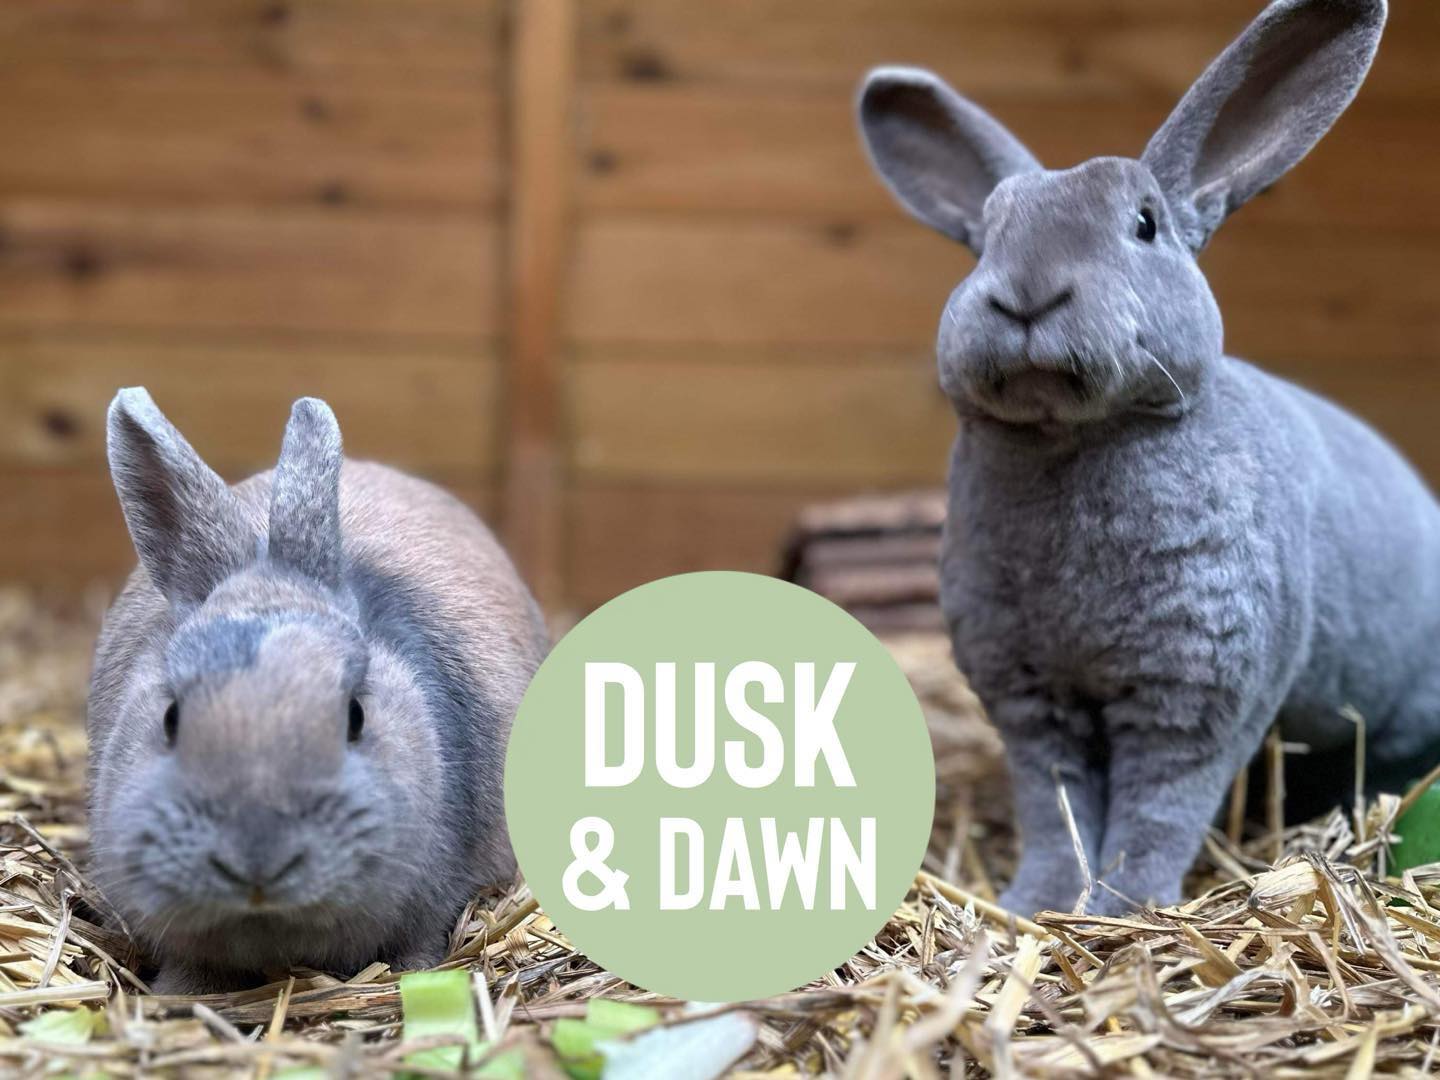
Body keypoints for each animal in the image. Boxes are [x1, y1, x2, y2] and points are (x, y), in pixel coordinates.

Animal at [857, 0, 1440, 917]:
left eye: (1143, 224)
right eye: (986, 238)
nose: (1027, 293)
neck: (1069, 441)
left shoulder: (1195, 694)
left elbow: (1157, 809)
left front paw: (1121, 907)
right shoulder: (1031, 698)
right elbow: (1055, 805)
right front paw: (1037, 902)